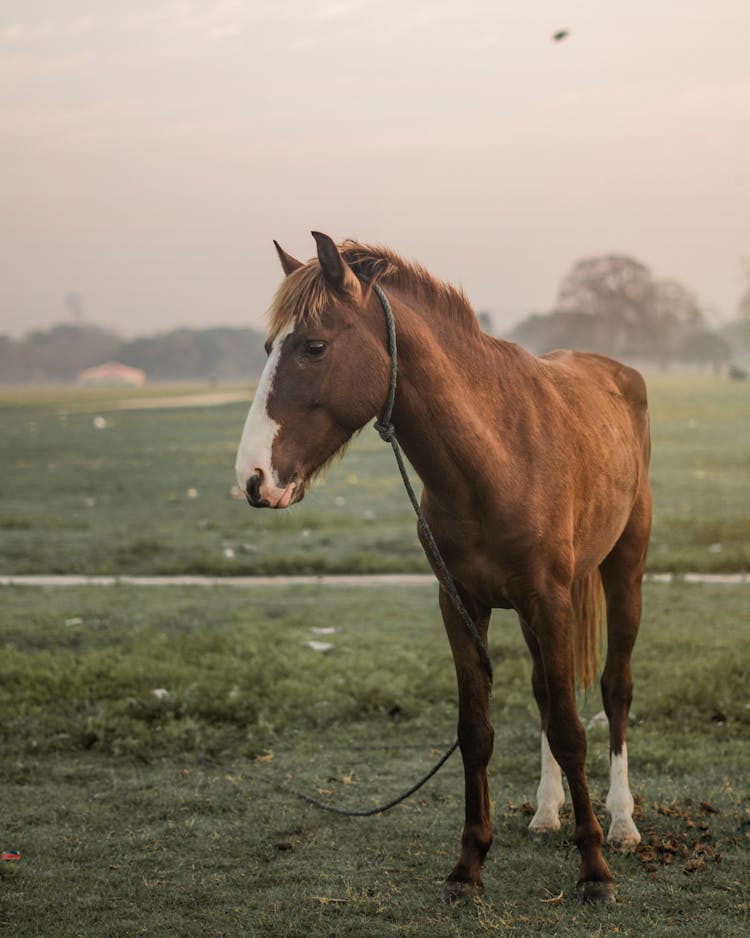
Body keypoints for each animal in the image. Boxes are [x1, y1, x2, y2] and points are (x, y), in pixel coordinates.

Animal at [235, 230, 652, 904]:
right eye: (271, 347)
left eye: (314, 346)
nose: (253, 478)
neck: (497, 457)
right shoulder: (462, 605)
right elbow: (478, 730)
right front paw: (469, 865)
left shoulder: (549, 599)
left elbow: (571, 728)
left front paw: (593, 870)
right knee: (545, 691)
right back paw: (546, 812)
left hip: (623, 573)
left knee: (614, 689)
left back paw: (620, 823)